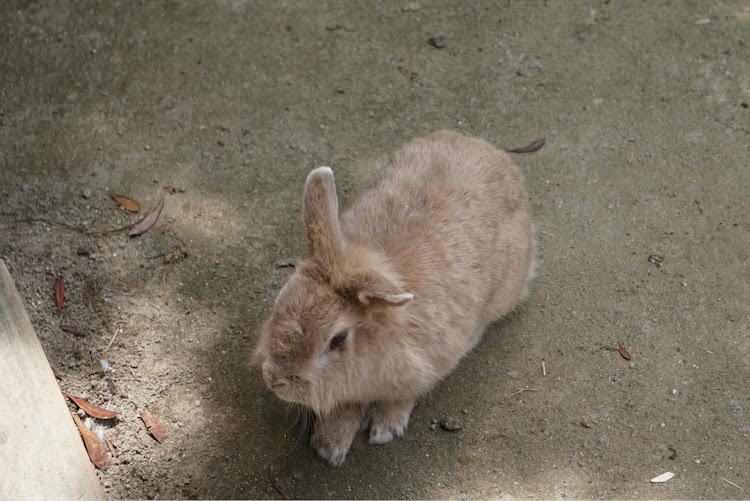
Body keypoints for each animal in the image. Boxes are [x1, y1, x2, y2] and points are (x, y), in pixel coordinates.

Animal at [256, 130, 536, 464]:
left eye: (337, 339)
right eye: (279, 303)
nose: (275, 381)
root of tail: (491, 152)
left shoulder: (429, 363)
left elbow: (403, 395)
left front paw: (384, 430)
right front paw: (330, 446)